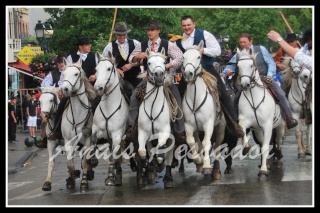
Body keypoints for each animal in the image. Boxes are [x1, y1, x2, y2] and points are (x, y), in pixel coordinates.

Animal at [60, 56, 97, 191]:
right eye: (64, 73)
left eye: (76, 74)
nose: (65, 89)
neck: (77, 115)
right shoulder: (68, 141)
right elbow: (70, 163)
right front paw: (72, 178)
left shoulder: (87, 140)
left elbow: (85, 161)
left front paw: (84, 183)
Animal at [91, 50, 130, 186]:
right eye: (96, 69)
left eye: (109, 68)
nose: (98, 87)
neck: (109, 107)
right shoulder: (96, 129)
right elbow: (93, 141)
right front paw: (93, 160)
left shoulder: (117, 134)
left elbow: (115, 153)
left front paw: (115, 177)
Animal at [136, 47, 175, 187]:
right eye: (149, 63)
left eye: (164, 62)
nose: (159, 75)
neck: (153, 107)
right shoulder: (143, 133)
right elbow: (142, 151)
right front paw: (146, 165)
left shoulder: (165, 132)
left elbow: (160, 151)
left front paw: (159, 163)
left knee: (169, 154)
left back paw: (167, 177)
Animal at [181, 40, 229, 180]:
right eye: (183, 57)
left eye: (198, 57)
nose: (188, 74)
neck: (195, 98)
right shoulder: (189, 125)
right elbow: (191, 142)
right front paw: (199, 161)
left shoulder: (208, 124)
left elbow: (207, 142)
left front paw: (207, 165)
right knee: (199, 142)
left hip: (220, 128)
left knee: (217, 147)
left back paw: (216, 170)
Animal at [236, 48, 286, 180]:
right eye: (238, 66)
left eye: (251, 65)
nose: (245, 84)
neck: (254, 98)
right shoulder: (245, 121)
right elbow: (243, 132)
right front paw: (246, 148)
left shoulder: (267, 125)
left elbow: (265, 147)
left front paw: (263, 171)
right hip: (258, 131)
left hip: (280, 126)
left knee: (278, 143)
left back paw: (278, 161)